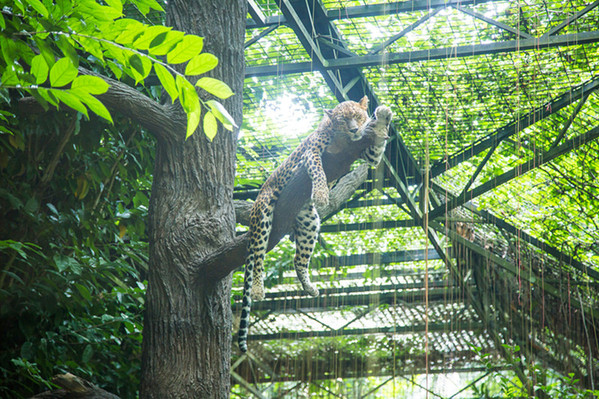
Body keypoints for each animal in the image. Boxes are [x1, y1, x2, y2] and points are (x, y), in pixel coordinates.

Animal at [239, 97, 394, 354]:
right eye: (342, 120)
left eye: (357, 116)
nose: (354, 130)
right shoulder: (310, 153)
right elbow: (318, 171)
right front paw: (321, 194)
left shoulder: (368, 154)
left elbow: (377, 149)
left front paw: (382, 116)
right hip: (262, 213)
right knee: (256, 256)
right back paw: (259, 289)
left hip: (309, 221)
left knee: (298, 259)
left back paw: (309, 287)